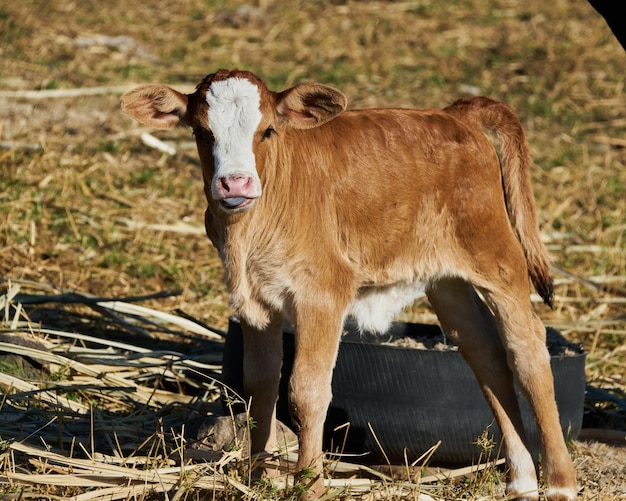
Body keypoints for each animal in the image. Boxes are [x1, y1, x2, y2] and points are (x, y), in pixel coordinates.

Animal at [120, 70, 576, 500]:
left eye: (268, 130)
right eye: (201, 132)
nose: (235, 183)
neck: (250, 230)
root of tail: (454, 114)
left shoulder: (322, 293)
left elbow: (306, 391)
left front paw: (310, 485)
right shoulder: (254, 301)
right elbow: (258, 387)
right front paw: (257, 478)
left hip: (494, 252)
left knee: (527, 349)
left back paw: (559, 483)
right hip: (446, 279)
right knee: (485, 354)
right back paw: (521, 480)